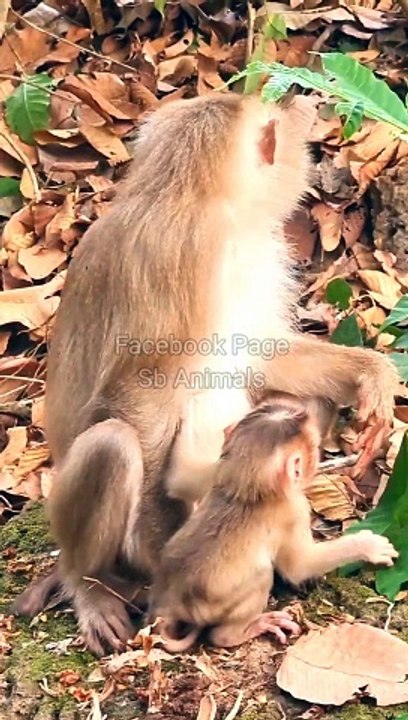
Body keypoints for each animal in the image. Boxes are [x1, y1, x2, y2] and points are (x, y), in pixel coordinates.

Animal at [151, 399, 398, 652]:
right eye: (313, 446)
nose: (318, 455)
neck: (246, 488)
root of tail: (172, 603)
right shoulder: (296, 508)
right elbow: (299, 567)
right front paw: (367, 546)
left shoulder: (216, 472)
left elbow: (181, 480)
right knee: (260, 574)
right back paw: (239, 632)